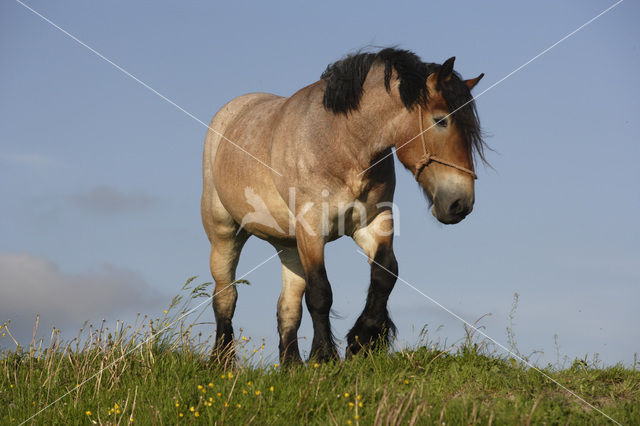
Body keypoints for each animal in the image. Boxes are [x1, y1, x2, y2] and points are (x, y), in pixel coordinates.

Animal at [200, 48, 484, 364]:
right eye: (441, 120)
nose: (460, 204)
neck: (340, 144)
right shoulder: (311, 231)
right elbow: (320, 293)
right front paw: (324, 355)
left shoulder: (372, 223)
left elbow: (385, 274)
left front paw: (362, 340)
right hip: (224, 233)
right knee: (226, 296)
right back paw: (222, 361)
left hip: (288, 246)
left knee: (287, 307)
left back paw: (291, 365)